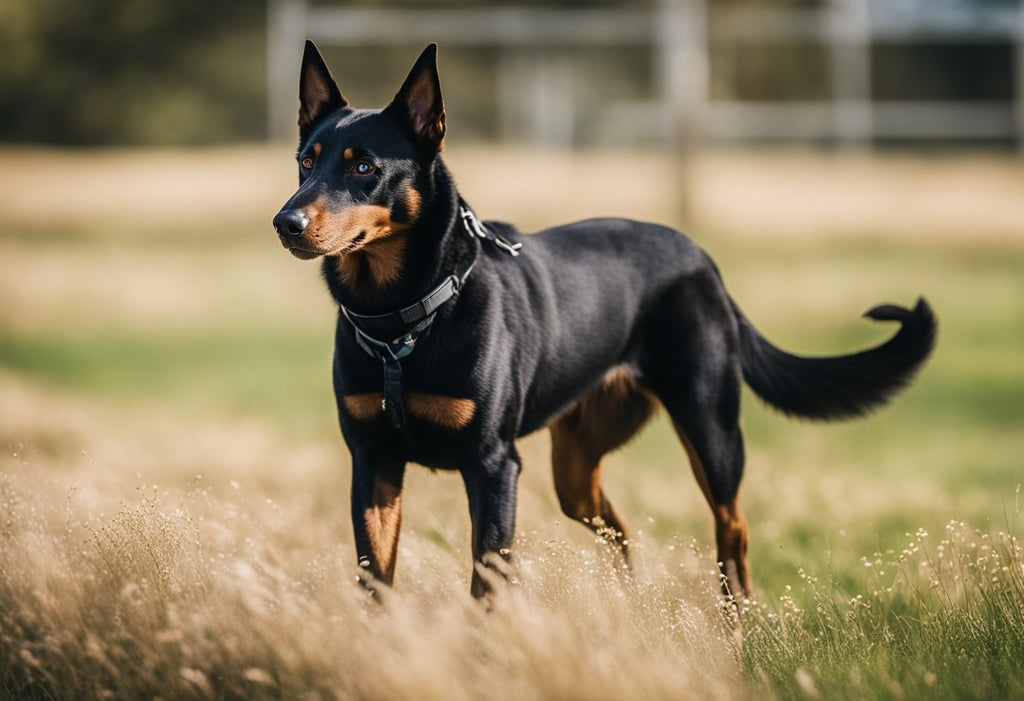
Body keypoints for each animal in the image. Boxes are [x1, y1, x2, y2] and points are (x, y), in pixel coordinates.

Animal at [272, 40, 937, 597]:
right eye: (306, 161)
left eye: (363, 167)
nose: (286, 222)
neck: (400, 321)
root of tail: (703, 261)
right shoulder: (373, 462)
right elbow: (374, 583)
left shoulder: (493, 467)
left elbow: (487, 587)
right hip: (576, 467)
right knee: (620, 530)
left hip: (710, 428)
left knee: (733, 529)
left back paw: (740, 628)